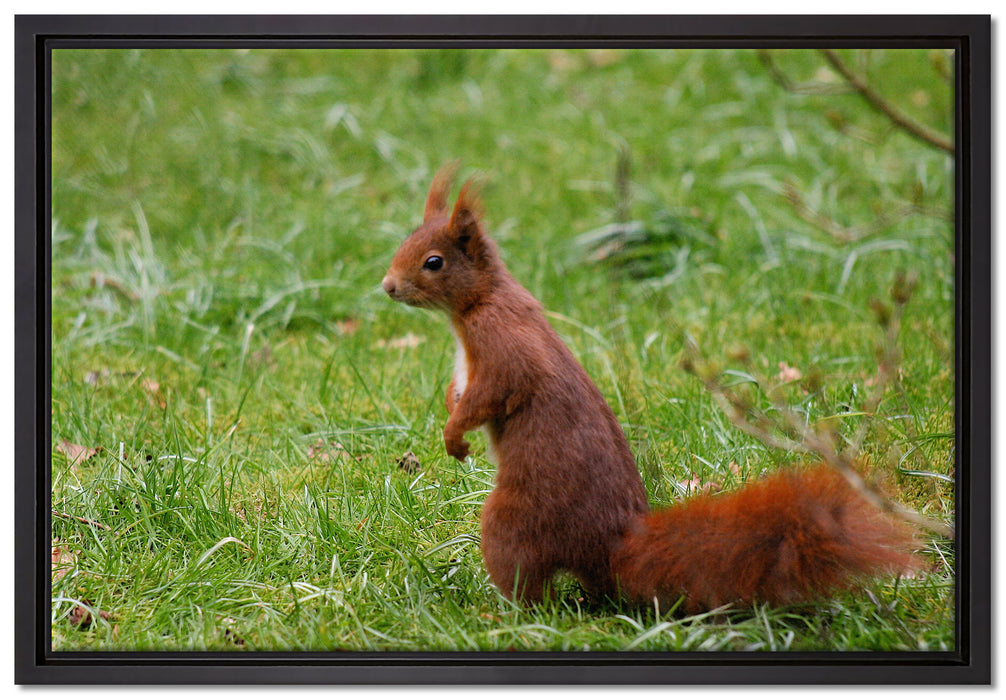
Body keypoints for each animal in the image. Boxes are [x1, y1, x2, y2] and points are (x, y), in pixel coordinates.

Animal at [381, 163, 919, 612]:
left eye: (433, 262)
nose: (387, 287)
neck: (477, 304)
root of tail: (612, 544)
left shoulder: (503, 349)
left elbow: (489, 394)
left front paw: (454, 437)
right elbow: (459, 393)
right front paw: (450, 420)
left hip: (515, 522)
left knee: (530, 586)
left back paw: (503, 612)